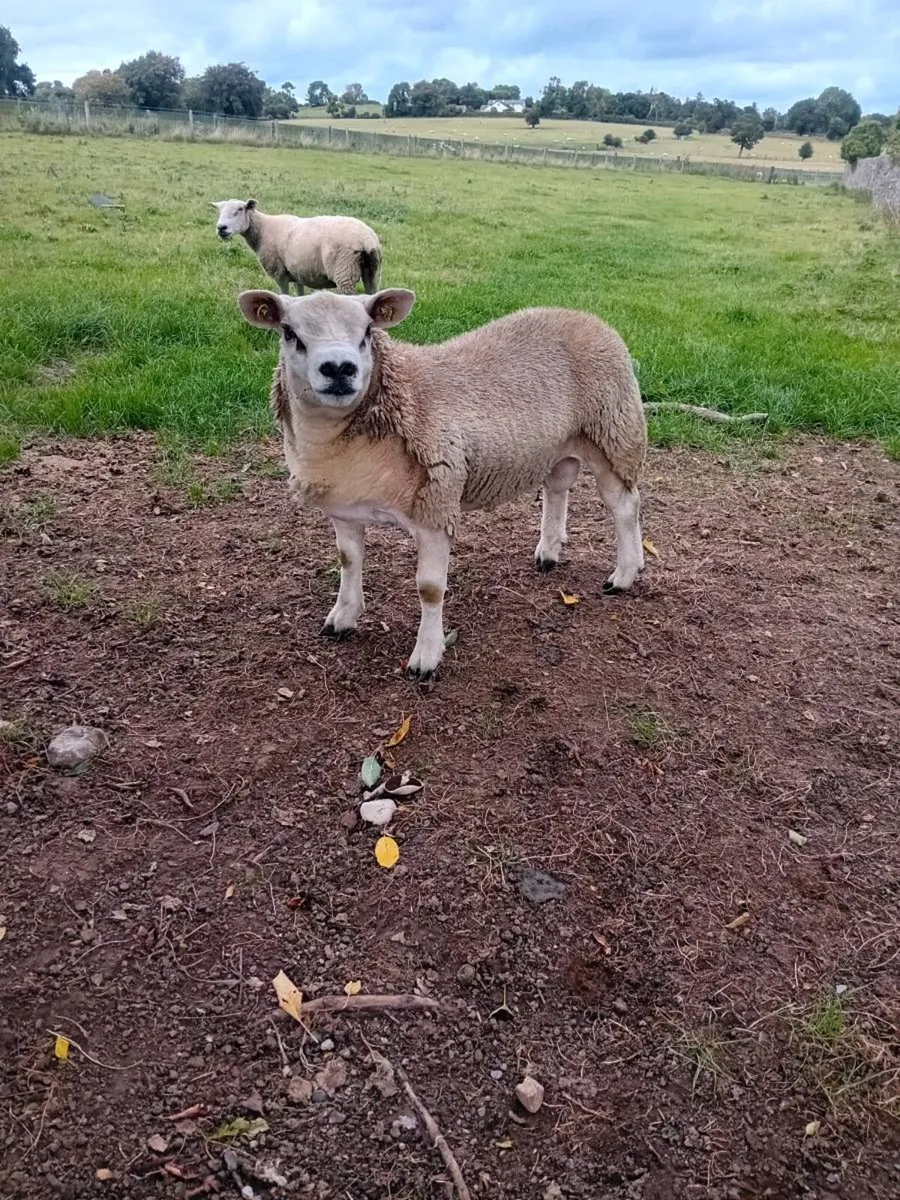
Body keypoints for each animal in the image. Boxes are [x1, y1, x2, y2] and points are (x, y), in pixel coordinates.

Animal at [213, 198, 382, 295]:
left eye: (240, 209)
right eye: (219, 211)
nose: (221, 228)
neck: (262, 230)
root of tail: (367, 239)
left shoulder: (279, 272)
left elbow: (283, 296)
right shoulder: (298, 272)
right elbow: (300, 294)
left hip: (345, 272)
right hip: (372, 271)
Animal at [237, 286, 648, 678]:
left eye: (367, 332)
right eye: (289, 333)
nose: (339, 369)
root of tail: (588, 317)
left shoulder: (436, 504)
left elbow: (430, 590)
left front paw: (426, 656)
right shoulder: (345, 506)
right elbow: (349, 561)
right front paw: (343, 618)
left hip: (613, 431)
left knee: (624, 506)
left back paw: (624, 574)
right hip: (559, 444)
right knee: (558, 486)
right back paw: (549, 551)